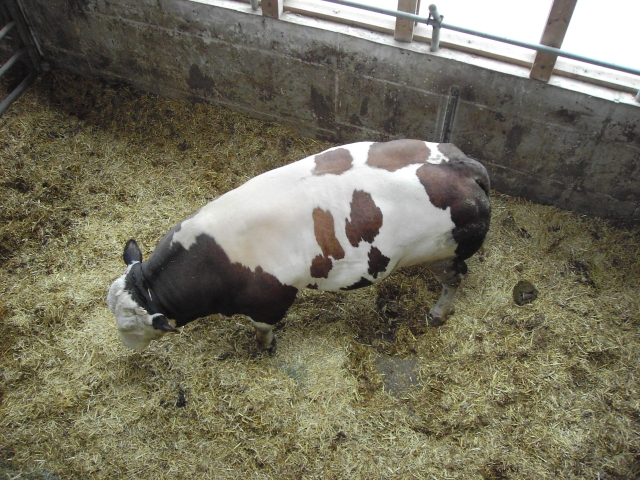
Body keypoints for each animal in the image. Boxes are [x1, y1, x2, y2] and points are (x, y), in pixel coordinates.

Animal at [106, 140, 491, 351]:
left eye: (130, 329)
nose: (127, 346)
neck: (213, 258)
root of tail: (465, 165)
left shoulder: (270, 300)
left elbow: (262, 329)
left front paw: (266, 347)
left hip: (445, 251)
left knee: (456, 277)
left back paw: (438, 313)